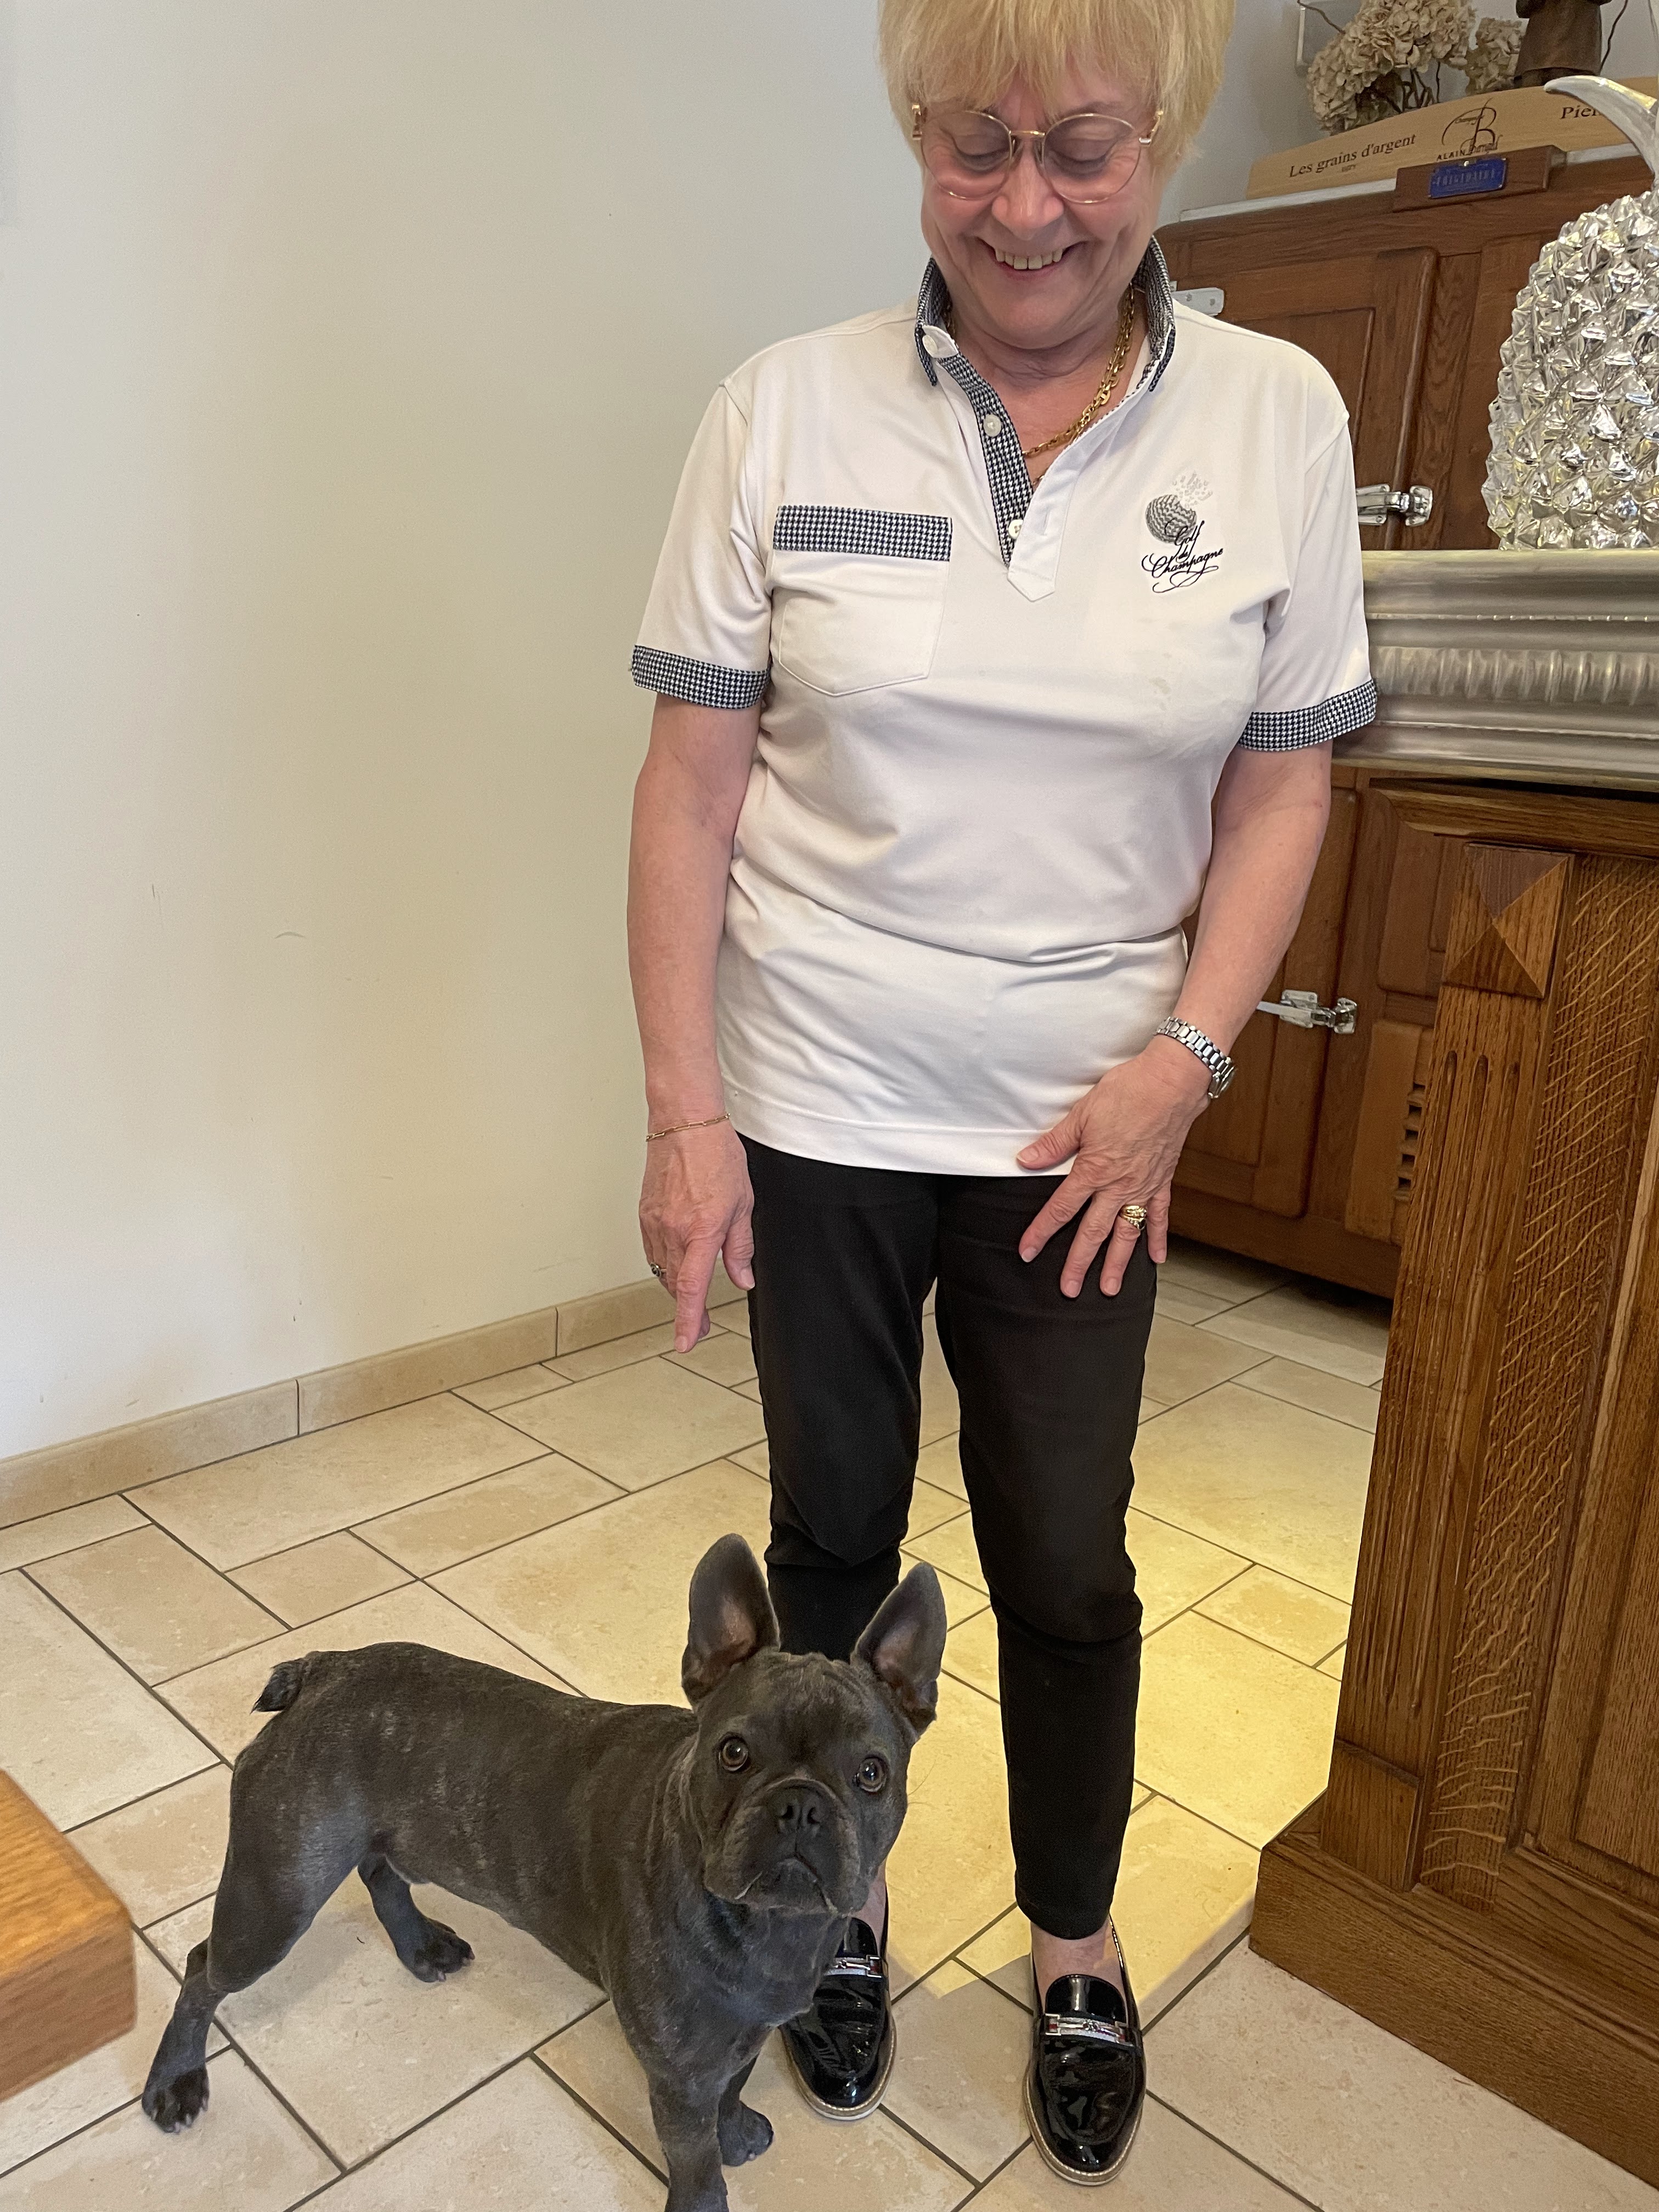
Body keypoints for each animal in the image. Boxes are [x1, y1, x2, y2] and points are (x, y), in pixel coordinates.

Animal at [141, 1532, 946, 2212]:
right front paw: (706, 2193)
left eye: (872, 1773)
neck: (772, 1926)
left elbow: (732, 2089)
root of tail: (324, 1669)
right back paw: (174, 2081)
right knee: (205, 1968)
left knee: (381, 1872)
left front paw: (738, 2129)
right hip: (278, 1893)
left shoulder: (739, 2035)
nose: (801, 1805)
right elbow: (692, 2158)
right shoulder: (680, 2074)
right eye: (734, 1753)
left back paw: (419, 1946)